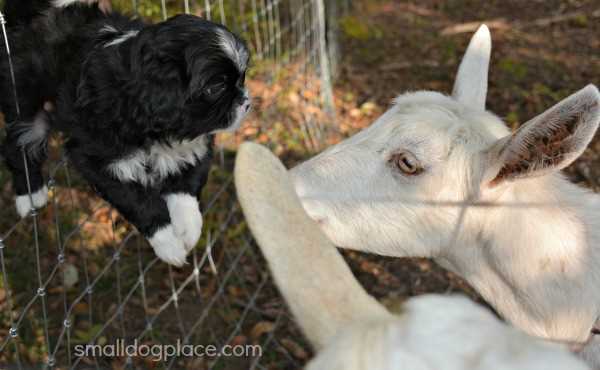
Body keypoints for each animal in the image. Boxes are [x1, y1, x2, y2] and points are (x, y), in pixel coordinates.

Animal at [0, 0, 248, 266]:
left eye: (241, 78)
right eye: (216, 87)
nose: (246, 102)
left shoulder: (196, 145)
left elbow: (187, 185)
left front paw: (188, 229)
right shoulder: (96, 158)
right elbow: (136, 200)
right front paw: (168, 243)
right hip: (24, 96)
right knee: (20, 142)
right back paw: (30, 194)